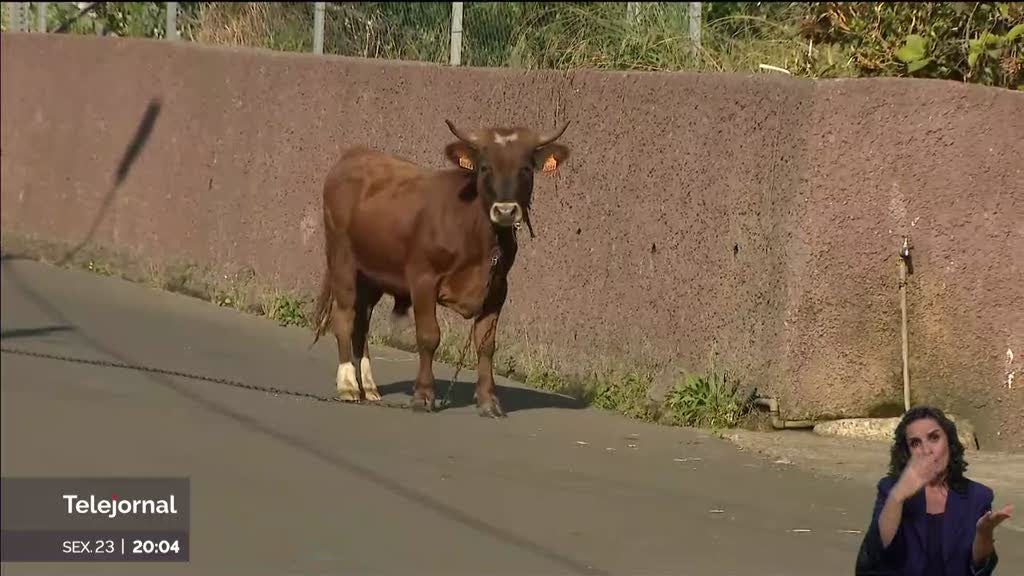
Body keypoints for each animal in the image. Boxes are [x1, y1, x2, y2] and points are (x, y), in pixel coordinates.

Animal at [307, 118, 573, 414]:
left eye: (525, 168)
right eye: (485, 167)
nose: (505, 211)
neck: (477, 236)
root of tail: (354, 155)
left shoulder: (497, 289)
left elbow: (486, 344)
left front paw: (488, 400)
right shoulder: (423, 279)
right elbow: (429, 336)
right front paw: (424, 394)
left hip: (371, 275)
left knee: (361, 324)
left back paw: (369, 386)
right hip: (342, 259)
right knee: (343, 317)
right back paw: (348, 385)